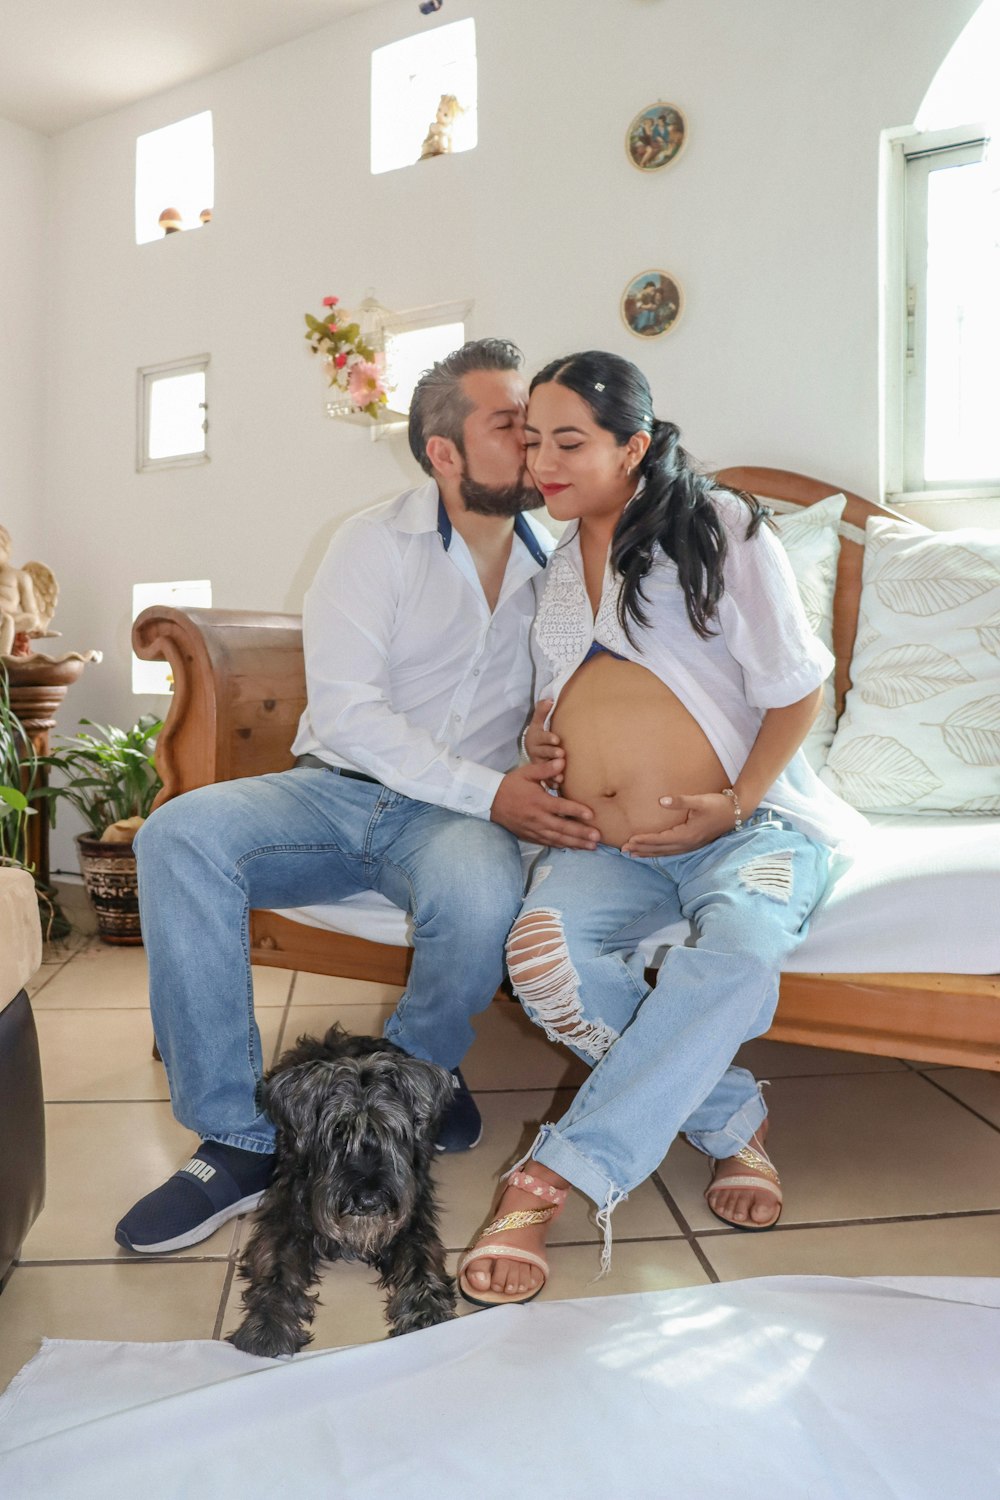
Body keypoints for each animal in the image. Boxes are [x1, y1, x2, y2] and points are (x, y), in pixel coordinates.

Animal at [226, 1020, 458, 1362]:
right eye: (337, 1131)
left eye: (392, 1131)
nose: (368, 1200)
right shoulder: (286, 1220)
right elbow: (276, 1270)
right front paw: (267, 1327)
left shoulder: (412, 1219)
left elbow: (420, 1262)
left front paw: (426, 1313)